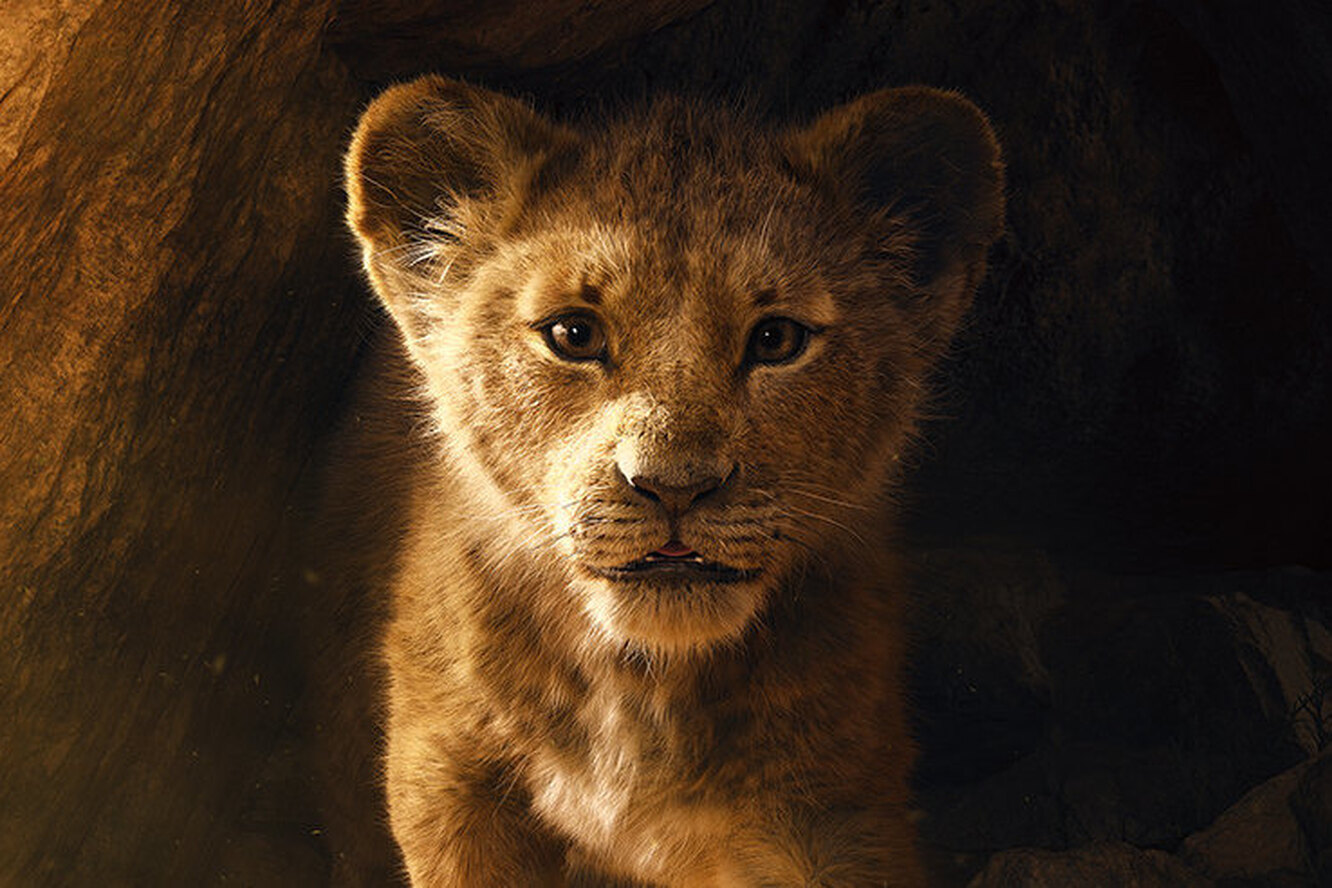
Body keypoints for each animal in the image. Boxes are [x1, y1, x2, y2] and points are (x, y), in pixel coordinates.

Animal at [337, 74, 1003, 886]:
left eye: (776, 339)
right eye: (574, 334)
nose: (674, 486)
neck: (640, 689)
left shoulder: (835, 810)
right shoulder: (450, 785)